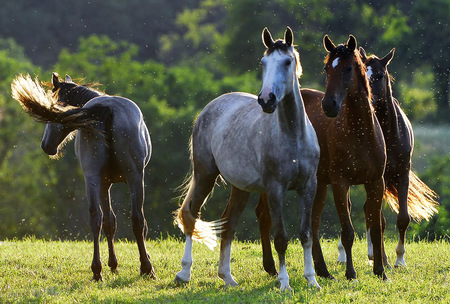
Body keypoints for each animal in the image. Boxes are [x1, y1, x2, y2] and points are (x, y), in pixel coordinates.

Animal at [11, 73, 155, 280]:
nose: (46, 145)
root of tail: (107, 109)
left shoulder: (106, 183)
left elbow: (110, 222)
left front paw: (114, 263)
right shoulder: (106, 184)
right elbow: (112, 222)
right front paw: (115, 263)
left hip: (101, 178)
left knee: (101, 218)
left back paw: (100, 270)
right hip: (128, 178)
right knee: (133, 219)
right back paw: (143, 267)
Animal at [174, 27, 322, 290]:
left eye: (287, 61)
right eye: (263, 63)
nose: (266, 100)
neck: (293, 136)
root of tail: (209, 108)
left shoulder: (308, 187)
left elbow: (306, 235)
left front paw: (312, 280)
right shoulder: (275, 190)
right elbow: (281, 238)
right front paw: (284, 283)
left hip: (239, 188)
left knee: (228, 225)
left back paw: (227, 277)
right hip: (205, 175)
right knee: (191, 215)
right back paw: (184, 272)